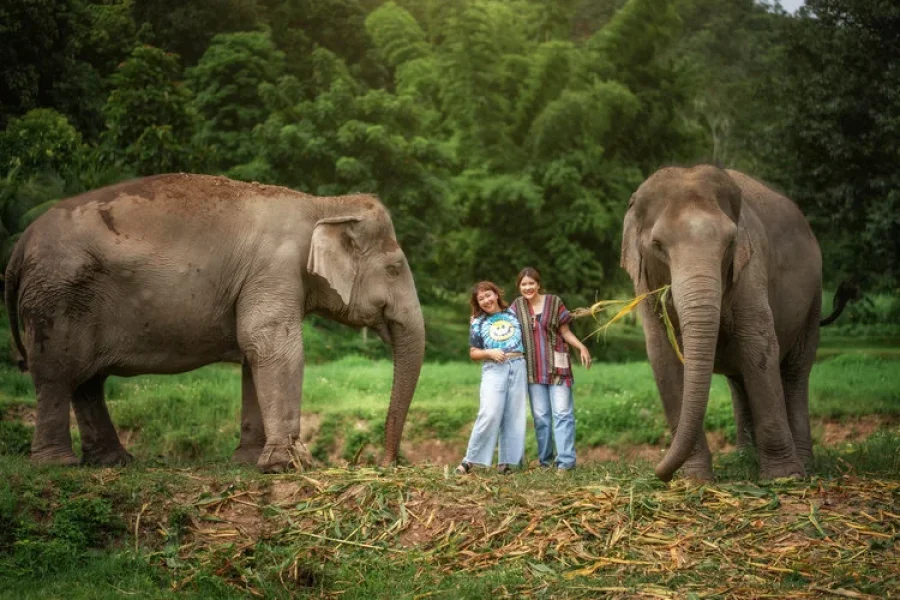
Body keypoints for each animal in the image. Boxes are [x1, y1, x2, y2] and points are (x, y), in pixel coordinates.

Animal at [4, 173, 426, 472]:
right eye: (394, 269)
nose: (383, 464)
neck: (319, 205)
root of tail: (20, 245)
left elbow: (254, 353)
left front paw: (250, 461)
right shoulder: (274, 267)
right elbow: (270, 344)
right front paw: (290, 465)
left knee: (87, 381)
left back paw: (113, 462)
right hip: (56, 297)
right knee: (57, 373)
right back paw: (57, 464)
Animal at [620, 165, 844, 482]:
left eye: (730, 243)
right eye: (657, 245)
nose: (658, 472)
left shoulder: (751, 267)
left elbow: (759, 344)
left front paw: (784, 478)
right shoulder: (643, 285)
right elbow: (662, 356)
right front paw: (693, 480)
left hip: (814, 297)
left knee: (795, 372)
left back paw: (803, 466)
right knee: (739, 381)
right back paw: (744, 459)